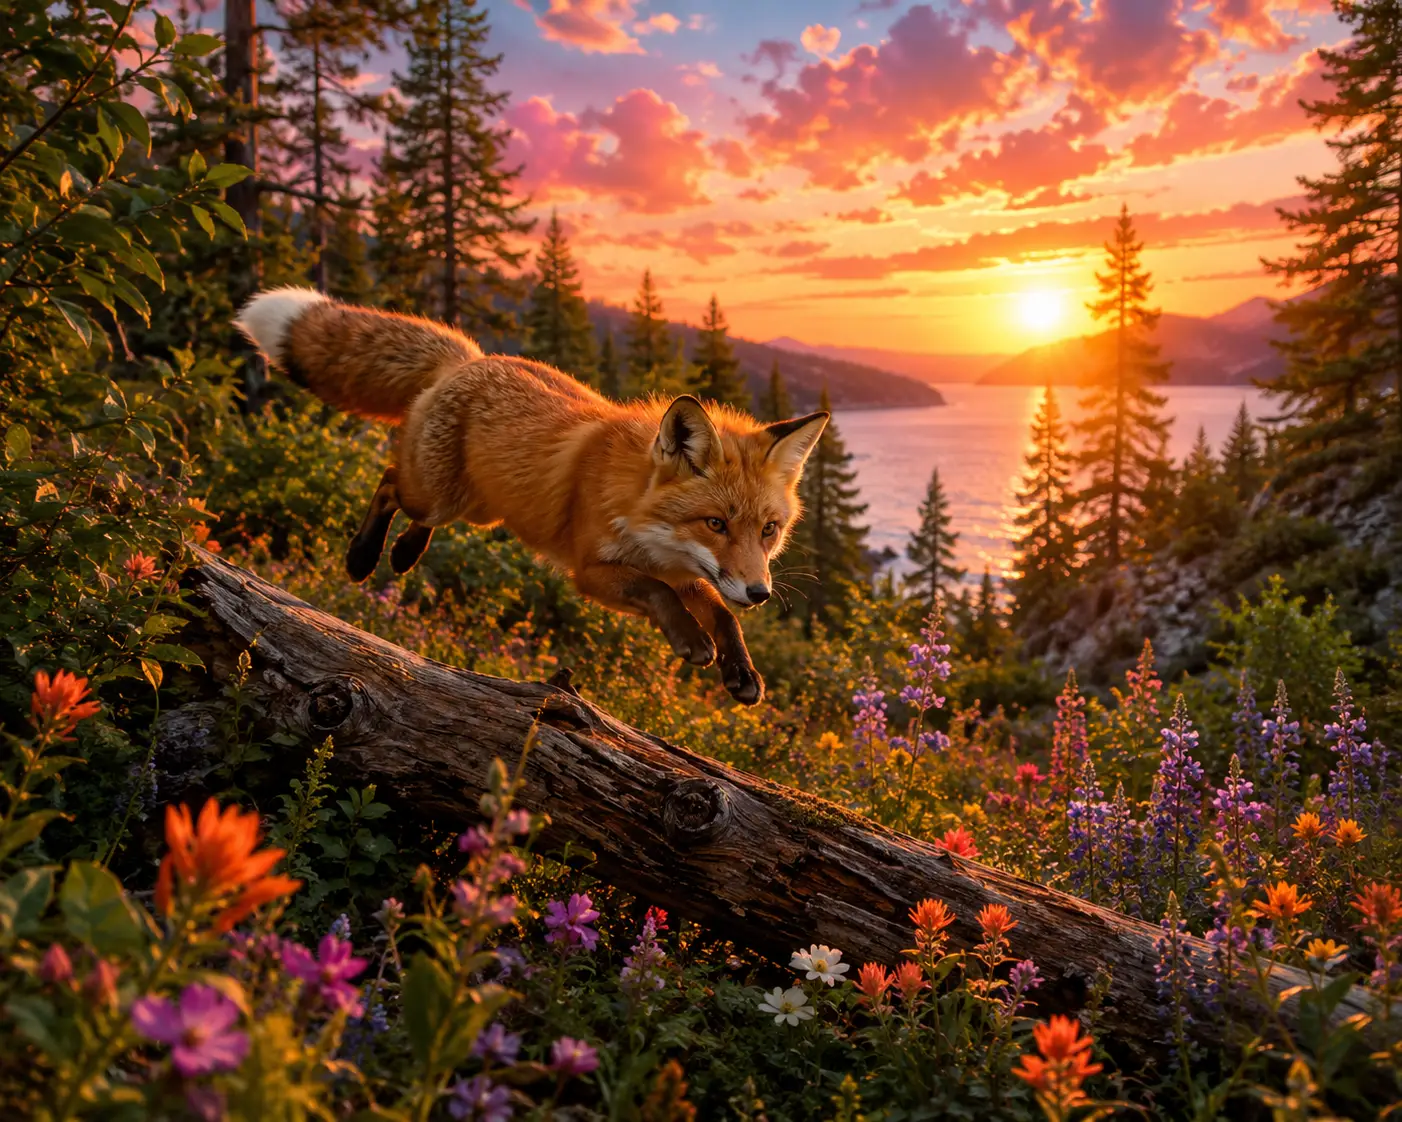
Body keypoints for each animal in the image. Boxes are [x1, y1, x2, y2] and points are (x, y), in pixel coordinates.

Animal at [232, 287, 828, 705]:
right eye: (716, 524)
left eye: (768, 530)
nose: (760, 593)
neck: (644, 518)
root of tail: (470, 358)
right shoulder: (593, 572)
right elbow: (659, 594)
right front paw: (692, 642)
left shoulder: (686, 571)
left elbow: (719, 612)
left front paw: (741, 671)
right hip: (439, 495)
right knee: (387, 482)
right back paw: (363, 558)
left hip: (478, 509)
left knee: (412, 510)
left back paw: (403, 554)